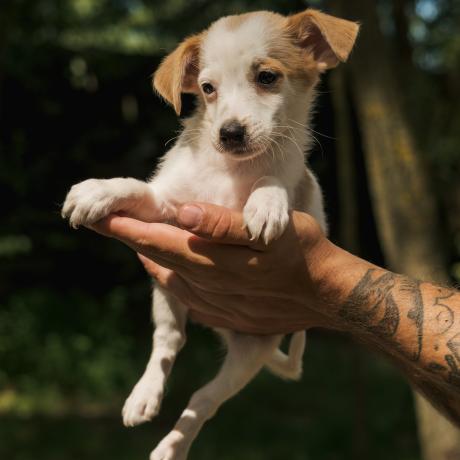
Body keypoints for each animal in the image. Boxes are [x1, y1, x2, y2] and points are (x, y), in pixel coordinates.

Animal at [61, 8, 360, 460]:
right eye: (207, 89)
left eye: (267, 77)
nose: (229, 133)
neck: (230, 171)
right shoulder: (167, 207)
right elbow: (136, 187)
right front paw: (99, 190)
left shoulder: (297, 191)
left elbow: (274, 178)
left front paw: (265, 201)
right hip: (166, 292)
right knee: (169, 340)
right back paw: (144, 396)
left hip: (250, 352)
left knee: (202, 400)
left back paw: (172, 445)